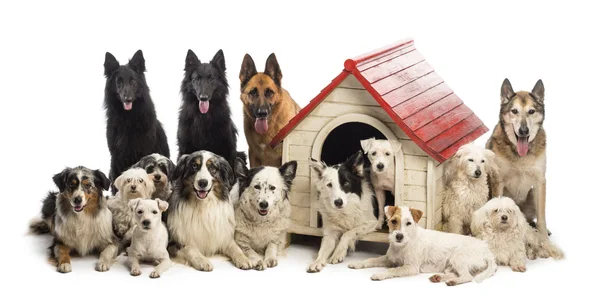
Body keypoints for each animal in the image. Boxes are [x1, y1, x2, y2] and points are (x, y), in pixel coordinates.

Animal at [350, 205, 494, 286]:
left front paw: (380, 274)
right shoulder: (388, 259)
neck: (403, 245)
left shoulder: (411, 267)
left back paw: (452, 282)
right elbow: (371, 260)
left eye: (408, 223)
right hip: (450, 265)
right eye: (393, 221)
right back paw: (439, 277)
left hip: (458, 257)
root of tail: (487, 250)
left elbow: (393, 270)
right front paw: (357, 263)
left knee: (467, 276)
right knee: (456, 273)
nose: (399, 236)